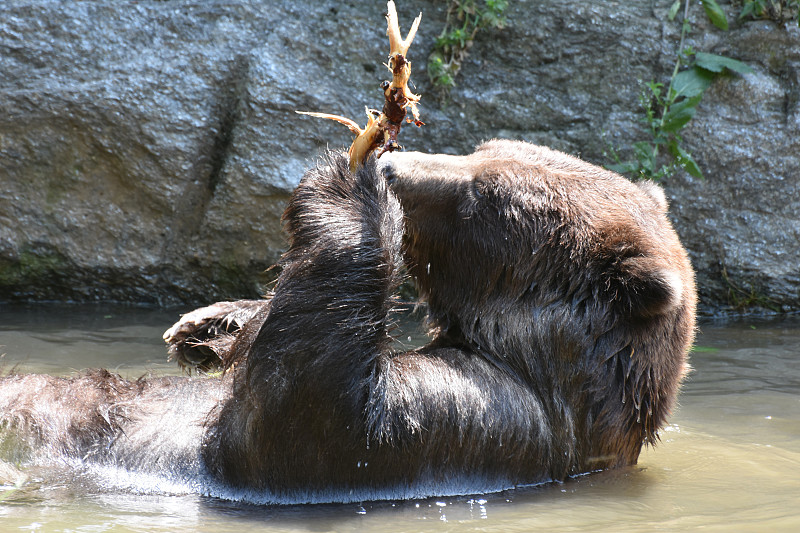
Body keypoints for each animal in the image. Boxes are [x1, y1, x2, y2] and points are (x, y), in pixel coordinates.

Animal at [0, 138, 692, 502]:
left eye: (484, 195)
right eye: (484, 150)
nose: (394, 163)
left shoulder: (491, 421)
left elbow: (311, 421)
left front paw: (345, 181)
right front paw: (210, 326)